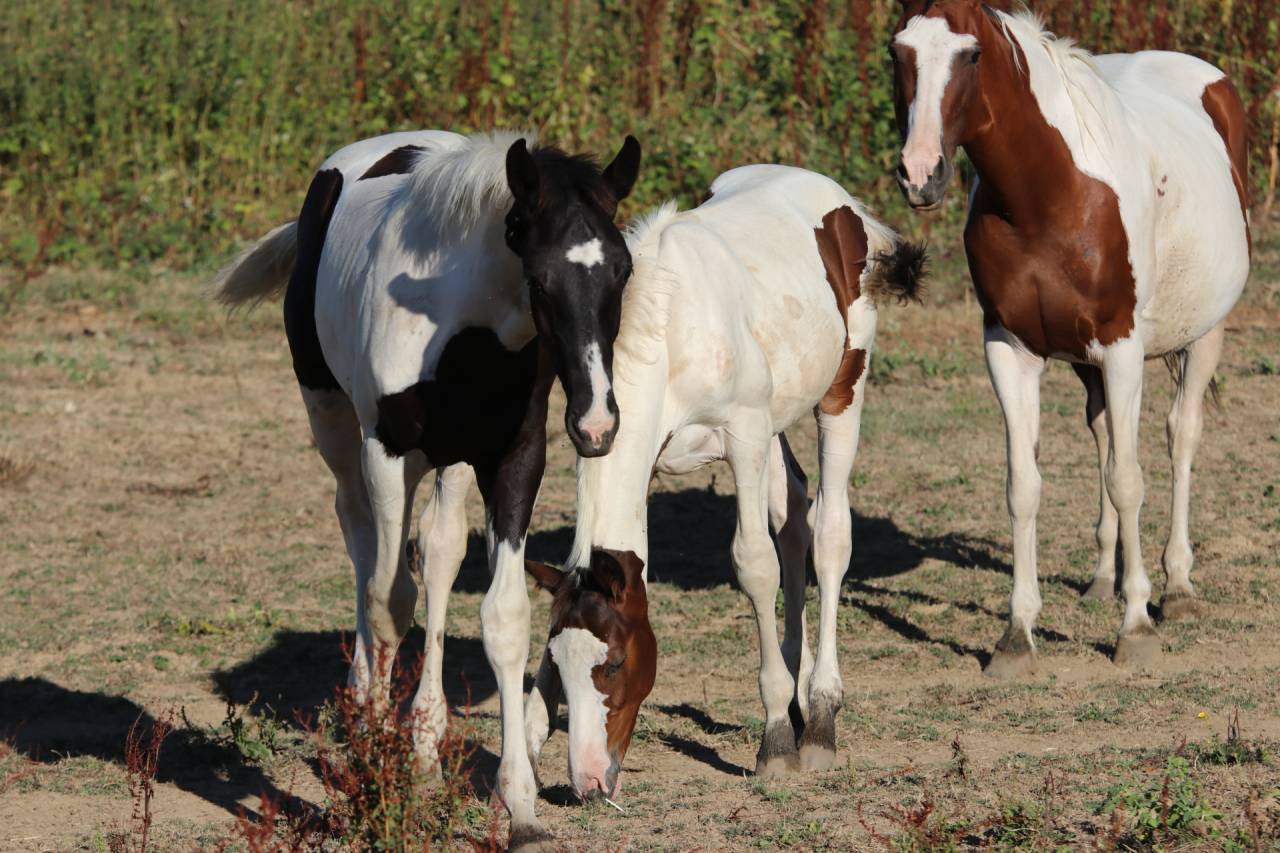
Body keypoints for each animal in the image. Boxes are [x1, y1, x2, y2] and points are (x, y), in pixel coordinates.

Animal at [213, 129, 641, 850]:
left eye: (623, 270)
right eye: (540, 277)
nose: (596, 425)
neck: (464, 327)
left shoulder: (514, 459)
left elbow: (503, 617)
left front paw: (519, 807)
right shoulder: (386, 453)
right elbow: (389, 600)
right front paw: (378, 773)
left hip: (451, 463)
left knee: (438, 554)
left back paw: (423, 741)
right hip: (334, 423)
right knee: (363, 542)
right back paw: (366, 710)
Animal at [522, 164, 925, 801]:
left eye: (614, 663)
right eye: (558, 664)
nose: (588, 781)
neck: (669, 333)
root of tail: (843, 203)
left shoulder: (743, 437)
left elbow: (754, 565)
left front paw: (776, 739)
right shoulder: (635, 449)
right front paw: (526, 748)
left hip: (841, 392)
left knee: (830, 536)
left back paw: (820, 717)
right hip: (778, 423)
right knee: (794, 518)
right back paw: (801, 696)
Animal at [889, 0, 1251, 677]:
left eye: (972, 54)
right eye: (898, 52)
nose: (921, 174)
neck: (1049, 193)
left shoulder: (1123, 346)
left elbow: (1129, 480)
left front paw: (1136, 628)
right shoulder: (1009, 350)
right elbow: (1025, 486)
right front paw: (1016, 635)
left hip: (1202, 335)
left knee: (1179, 439)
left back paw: (1177, 588)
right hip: (1089, 364)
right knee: (1105, 433)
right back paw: (1103, 579)